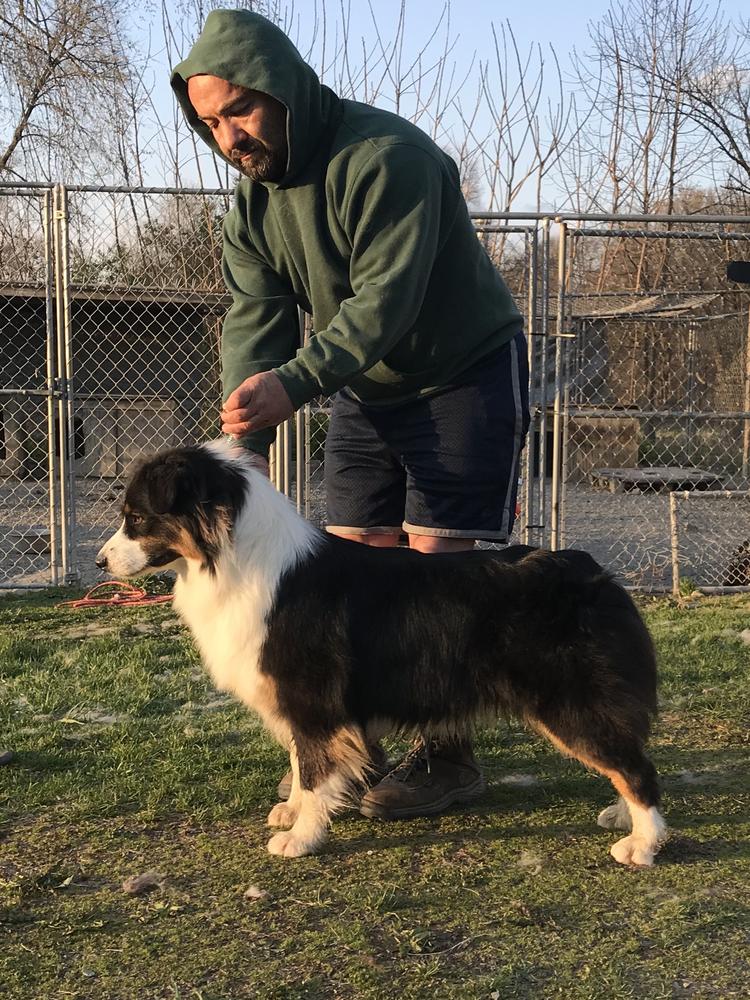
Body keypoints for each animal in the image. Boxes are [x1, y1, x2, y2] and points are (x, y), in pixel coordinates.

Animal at [95, 442, 668, 864]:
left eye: (136, 518)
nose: (100, 562)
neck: (234, 554)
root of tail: (596, 574)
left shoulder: (314, 699)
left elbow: (314, 768)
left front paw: (302, 837)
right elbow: (302, 763)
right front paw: (294, 812)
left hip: (570, 702)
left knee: (636, 767)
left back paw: (642, 842)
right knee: (626, 759)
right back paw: (622, 815)